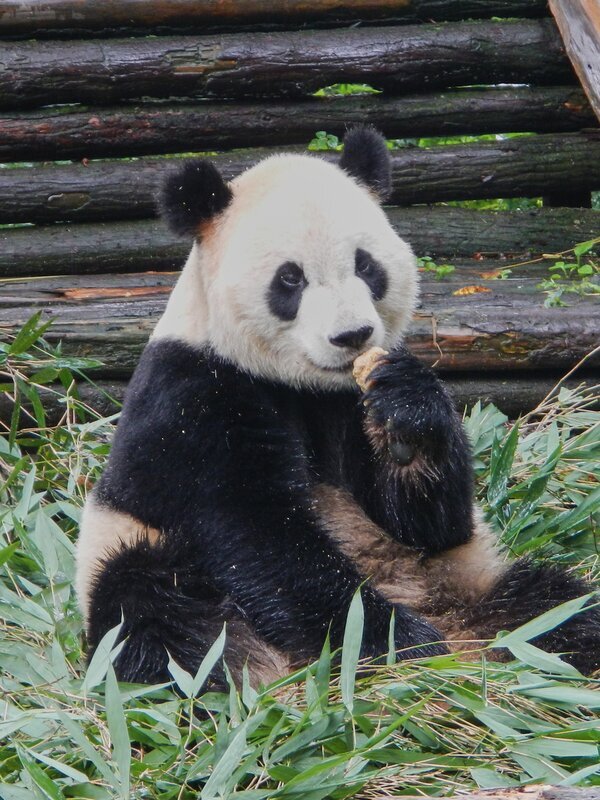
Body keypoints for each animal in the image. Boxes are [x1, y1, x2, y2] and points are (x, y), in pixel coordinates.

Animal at [76, 128, 600, 688]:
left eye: (365, 265)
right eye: (290, 279)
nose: (352, 335)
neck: (302, 383)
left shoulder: (348, 402)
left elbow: (428, 525)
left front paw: (408, 414)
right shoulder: (192, 396)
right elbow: (257, 533)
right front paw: (390, 638)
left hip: (476, 580)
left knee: (556, 606)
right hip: (129, 551)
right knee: (152, 609)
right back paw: (236, 667)